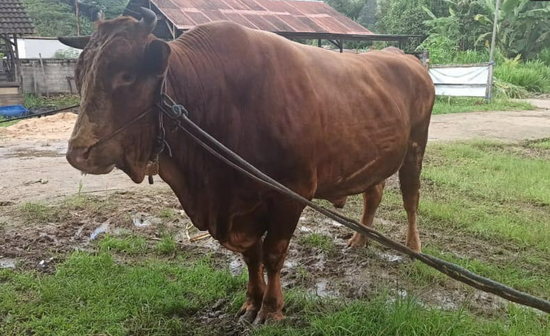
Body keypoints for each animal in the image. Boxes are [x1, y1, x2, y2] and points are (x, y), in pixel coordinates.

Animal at [61, 7, 436, 322]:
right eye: (80, 74)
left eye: (126, 75)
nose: (78, 152)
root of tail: (405, 58)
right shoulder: (240, 208)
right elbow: (252, 257)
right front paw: (251, 302)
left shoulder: (290, 194)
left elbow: (273, 254)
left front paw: (271, 309)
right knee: (374, 193)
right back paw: (359, 239)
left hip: (415, 148)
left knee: (411, 197)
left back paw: (414, 248)